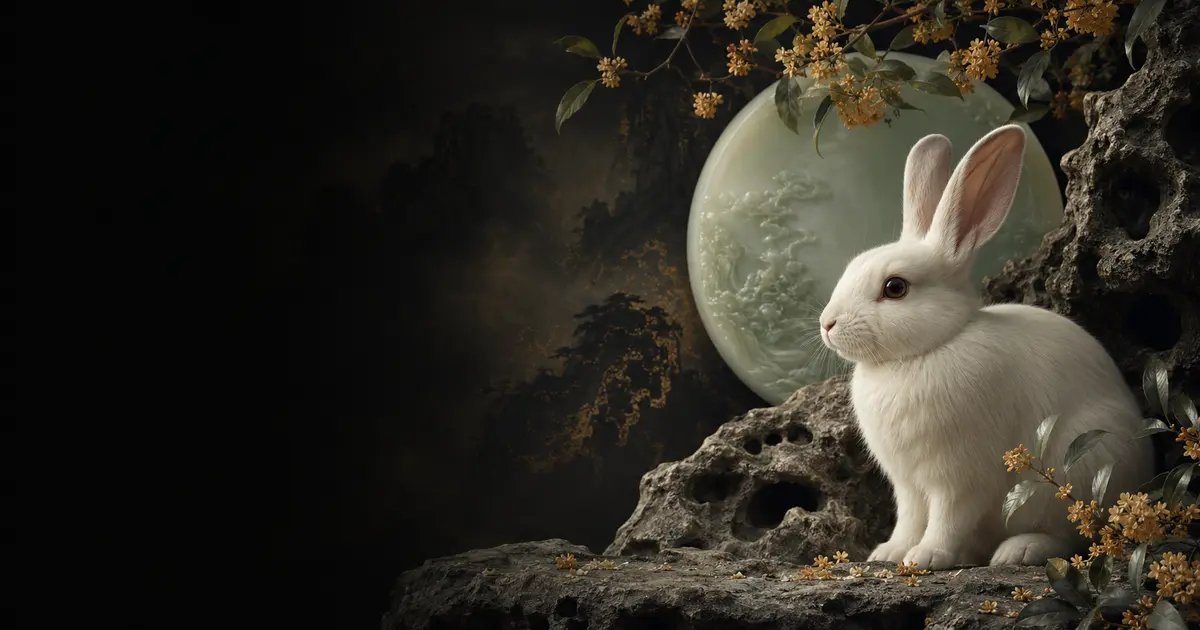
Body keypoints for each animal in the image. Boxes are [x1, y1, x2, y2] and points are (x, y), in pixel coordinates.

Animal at [817, 124, 1155, 570]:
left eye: (895, 288)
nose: (827, 324)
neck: (924, 352)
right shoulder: (907, 485)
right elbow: (909, 519)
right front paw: (889, 553)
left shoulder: (960, 478)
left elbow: (947, 519)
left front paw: (926, 557)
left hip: (1077, 472)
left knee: (1072, 536)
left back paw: (1018, 550)